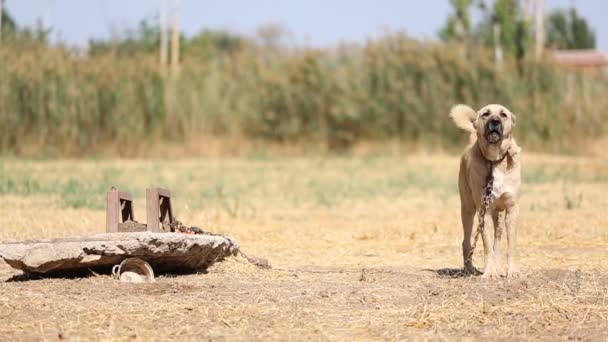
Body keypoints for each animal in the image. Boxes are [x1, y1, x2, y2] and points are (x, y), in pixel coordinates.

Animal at [452, 103, 524, 278]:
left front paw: (512, 271)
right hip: (468, 210)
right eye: (486, 114)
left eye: (503, 114)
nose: (495, 121)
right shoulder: (483, 210)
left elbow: (510, 245)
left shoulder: (512, 209)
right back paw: (469, 269)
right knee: (467, 242)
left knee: (497, 242)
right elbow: (486, 245)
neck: (494, 160)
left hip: (498, 216)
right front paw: (490, 272)